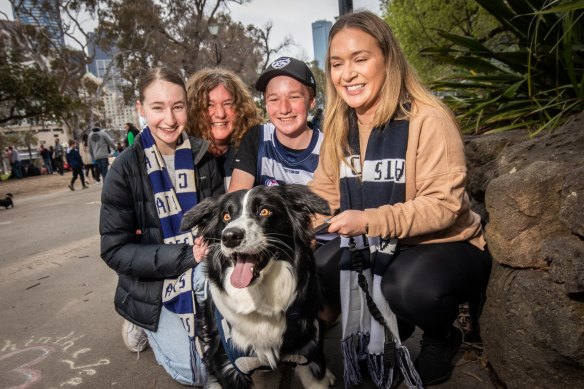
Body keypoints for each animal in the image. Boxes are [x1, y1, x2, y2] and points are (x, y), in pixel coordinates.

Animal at [182, 184, 338, 388]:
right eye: (226, 216)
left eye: (264, 211)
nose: (230, 236)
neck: (259, 296)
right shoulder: (227, 365)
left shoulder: (308, 351)